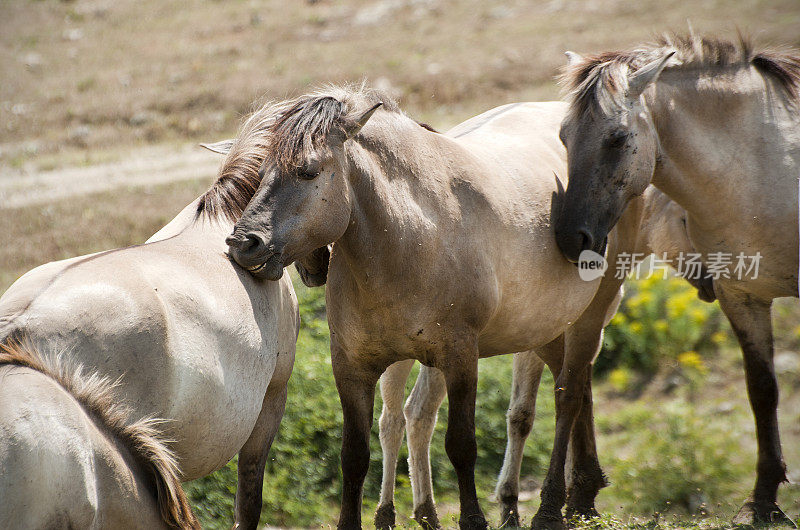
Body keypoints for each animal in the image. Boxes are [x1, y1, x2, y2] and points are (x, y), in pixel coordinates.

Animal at [219, 84, 668, 524]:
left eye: (308, 171)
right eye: (260, 173)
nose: (243, 243)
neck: (412, 239)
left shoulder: (460, 357)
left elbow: (460, 444)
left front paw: (473, 519)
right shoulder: (351, 368)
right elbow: (354, 457)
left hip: (588, 317)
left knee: (568, 397)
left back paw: (551, 507)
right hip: (544, 329)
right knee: (576, 391)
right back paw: (583, 496)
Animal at [372, 185, 716, 524]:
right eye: (686, 220)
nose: (712, 282)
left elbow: (538, 409)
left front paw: (538, 501)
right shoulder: (550, 341)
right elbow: (548, 405)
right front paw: (565, 497)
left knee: (411, 413)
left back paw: (423, 513)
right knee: (400, 417)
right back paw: (391, 514)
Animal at [552, 34, 800, 524]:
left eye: (617, 138)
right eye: (564, 136)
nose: (572, 238)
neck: (764, 165)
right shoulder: (741, 295)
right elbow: (762, 391)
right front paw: (761, 502)